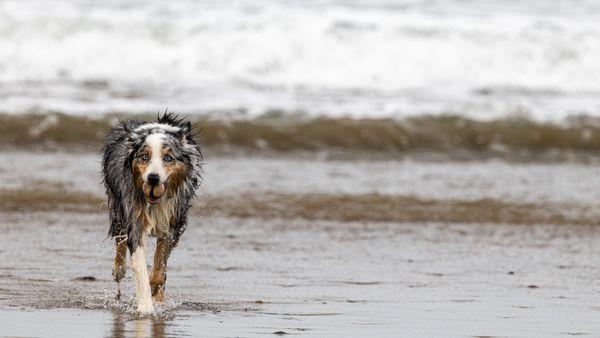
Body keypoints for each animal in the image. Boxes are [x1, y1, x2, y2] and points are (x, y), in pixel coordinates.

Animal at [102, 113, 204, 314]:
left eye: (168, 158)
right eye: (144, 157)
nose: (153, 178)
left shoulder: (172, 224)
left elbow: (159, 267)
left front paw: (156, 293)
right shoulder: (133, 217)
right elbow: (140, 266)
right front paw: (146, 308)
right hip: (117, 206)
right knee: (119, 238)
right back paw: (119, 270)